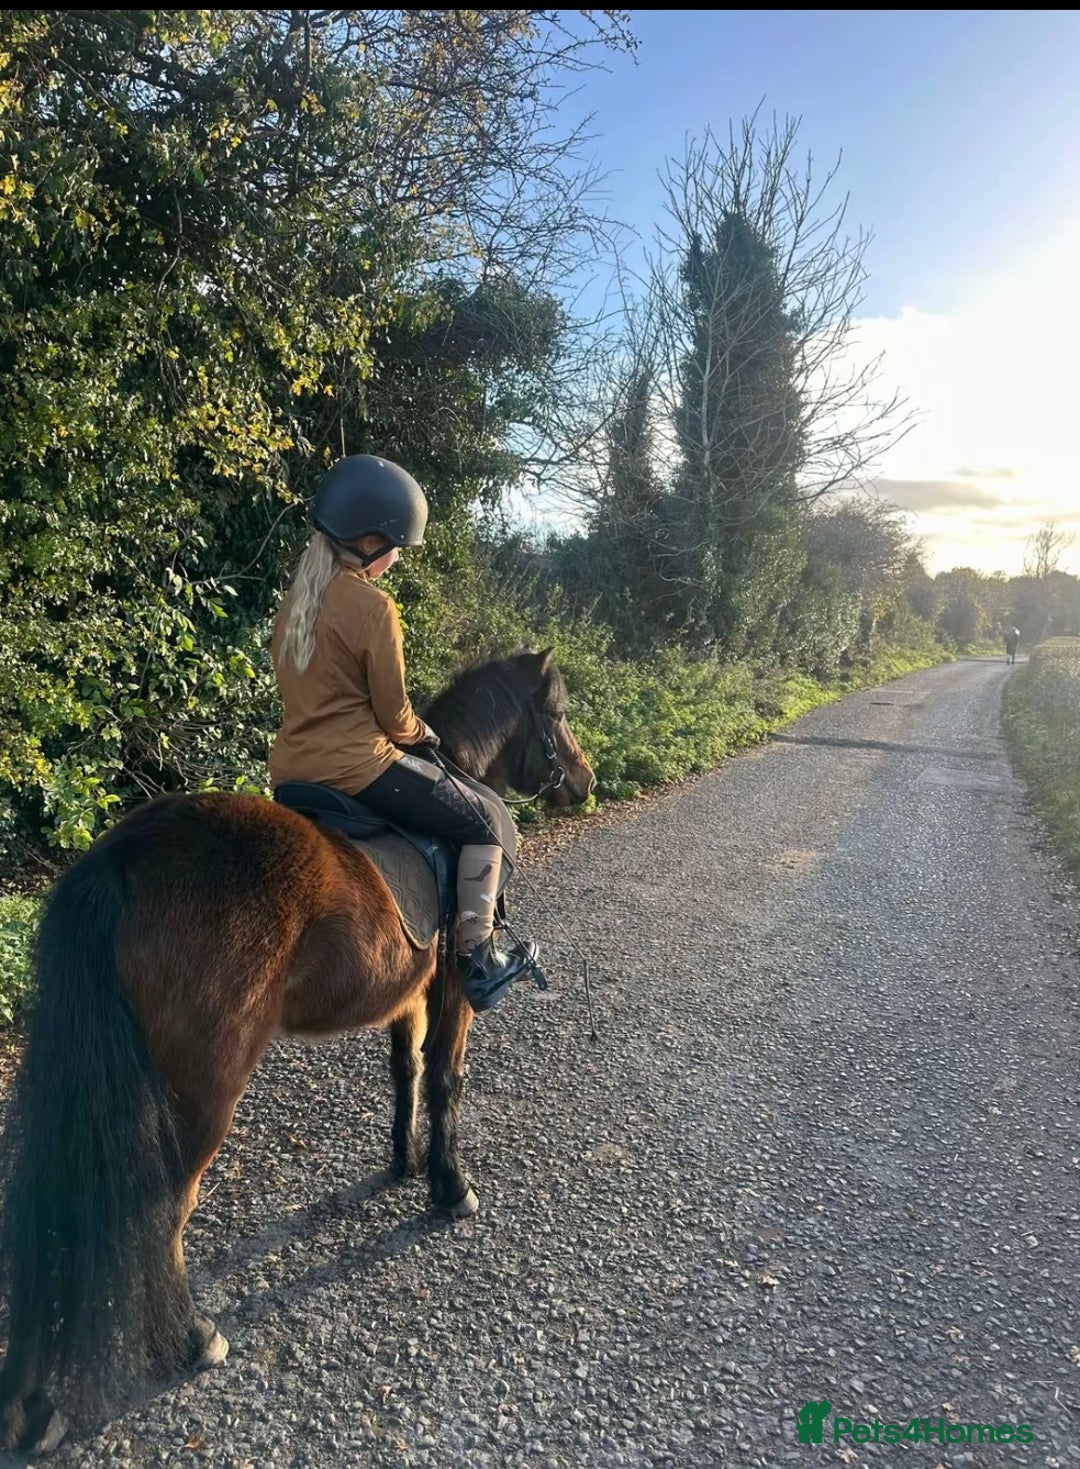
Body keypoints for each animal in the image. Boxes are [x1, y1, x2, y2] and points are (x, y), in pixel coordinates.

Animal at [0, 647, 595, 1455]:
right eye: (556, 711)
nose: (585, 780)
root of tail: (122, 857)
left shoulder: (407, 992)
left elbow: (404, 1070)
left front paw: (404, 1163)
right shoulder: (451, 986)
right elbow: (446, 1078)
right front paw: (449, 1186)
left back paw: (29, 1405)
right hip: (202, 1091)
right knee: (162, 1208)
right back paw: (193, 1339)